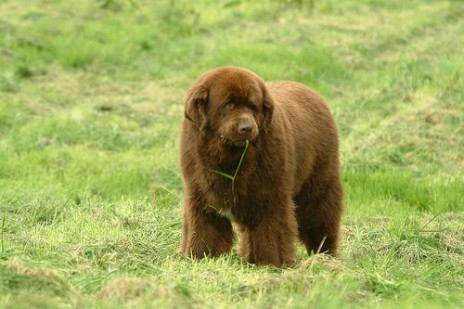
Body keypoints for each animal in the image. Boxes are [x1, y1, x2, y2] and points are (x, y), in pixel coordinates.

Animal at [179, 66, 342, 266]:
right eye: (228, 105)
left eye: (252, 105)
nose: (247, 127)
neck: (231, 159)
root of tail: (312, 92)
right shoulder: (200, 194)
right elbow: (203, 229)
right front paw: (199, 257)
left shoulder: (271, 195)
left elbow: (270, 230)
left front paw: (271, 264)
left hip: (318, 184)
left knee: (321, 217)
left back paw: (325, 256)